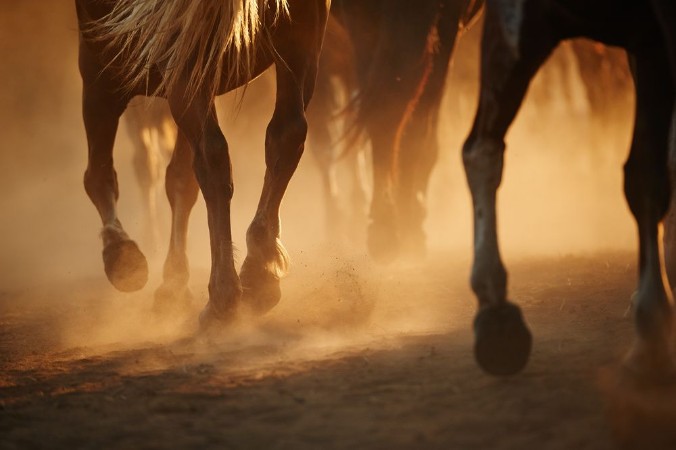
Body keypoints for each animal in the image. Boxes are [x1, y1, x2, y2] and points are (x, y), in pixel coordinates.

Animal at [76, 0, 330, 325]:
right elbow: (180, 181)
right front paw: (173, 283)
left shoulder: (100, 68)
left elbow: (98, 174)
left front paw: (121, 255)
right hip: (301, 31)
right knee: (286, 134)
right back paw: (258, 271)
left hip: (182, 56)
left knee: (212, 156)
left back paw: (223, 295)